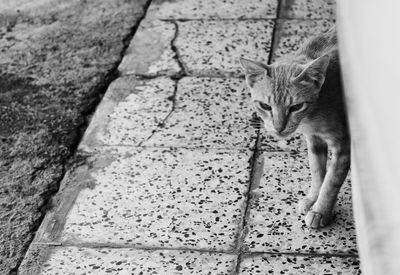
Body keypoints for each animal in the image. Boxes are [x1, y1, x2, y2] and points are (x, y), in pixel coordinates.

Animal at [241, 26, 350, 229]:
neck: (312, 117)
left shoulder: (343, 145)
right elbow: (317, 171)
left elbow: (331, 181)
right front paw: (312, 199)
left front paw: (321, 211)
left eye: (296, 107)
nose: (279, 128)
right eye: (265, 106)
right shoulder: (314, 140)